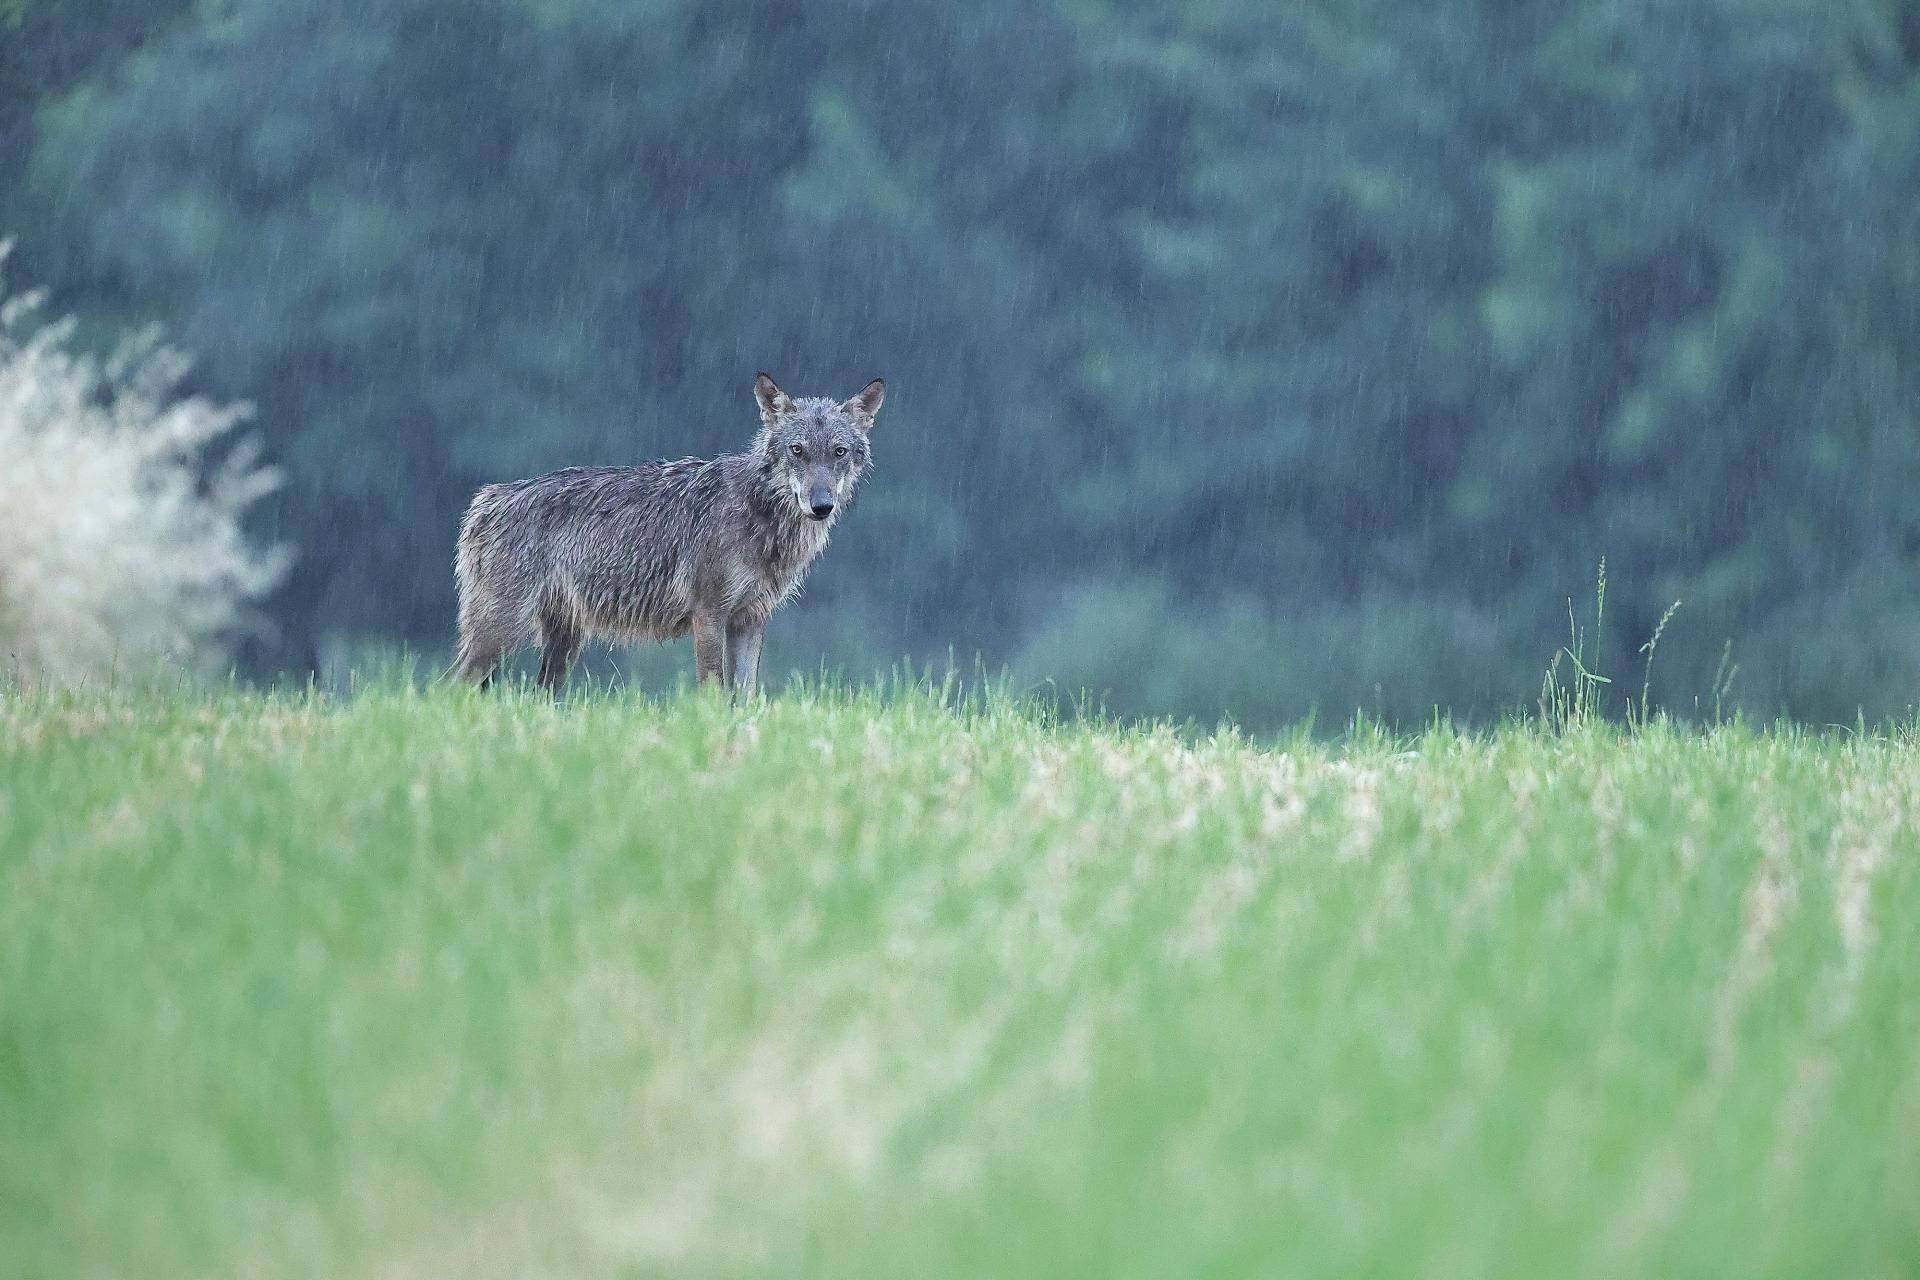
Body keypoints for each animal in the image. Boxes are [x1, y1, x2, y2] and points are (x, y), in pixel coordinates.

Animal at [448, 373, 883, 694]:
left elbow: (745, 696)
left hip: (562, 644)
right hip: (501, 634)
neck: (761, 518)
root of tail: (487, 500)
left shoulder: (750, 619)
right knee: (448, 687)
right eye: (797, 451)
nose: (821, 505)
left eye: (839, 452)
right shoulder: (708, 614)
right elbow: (713, 691)